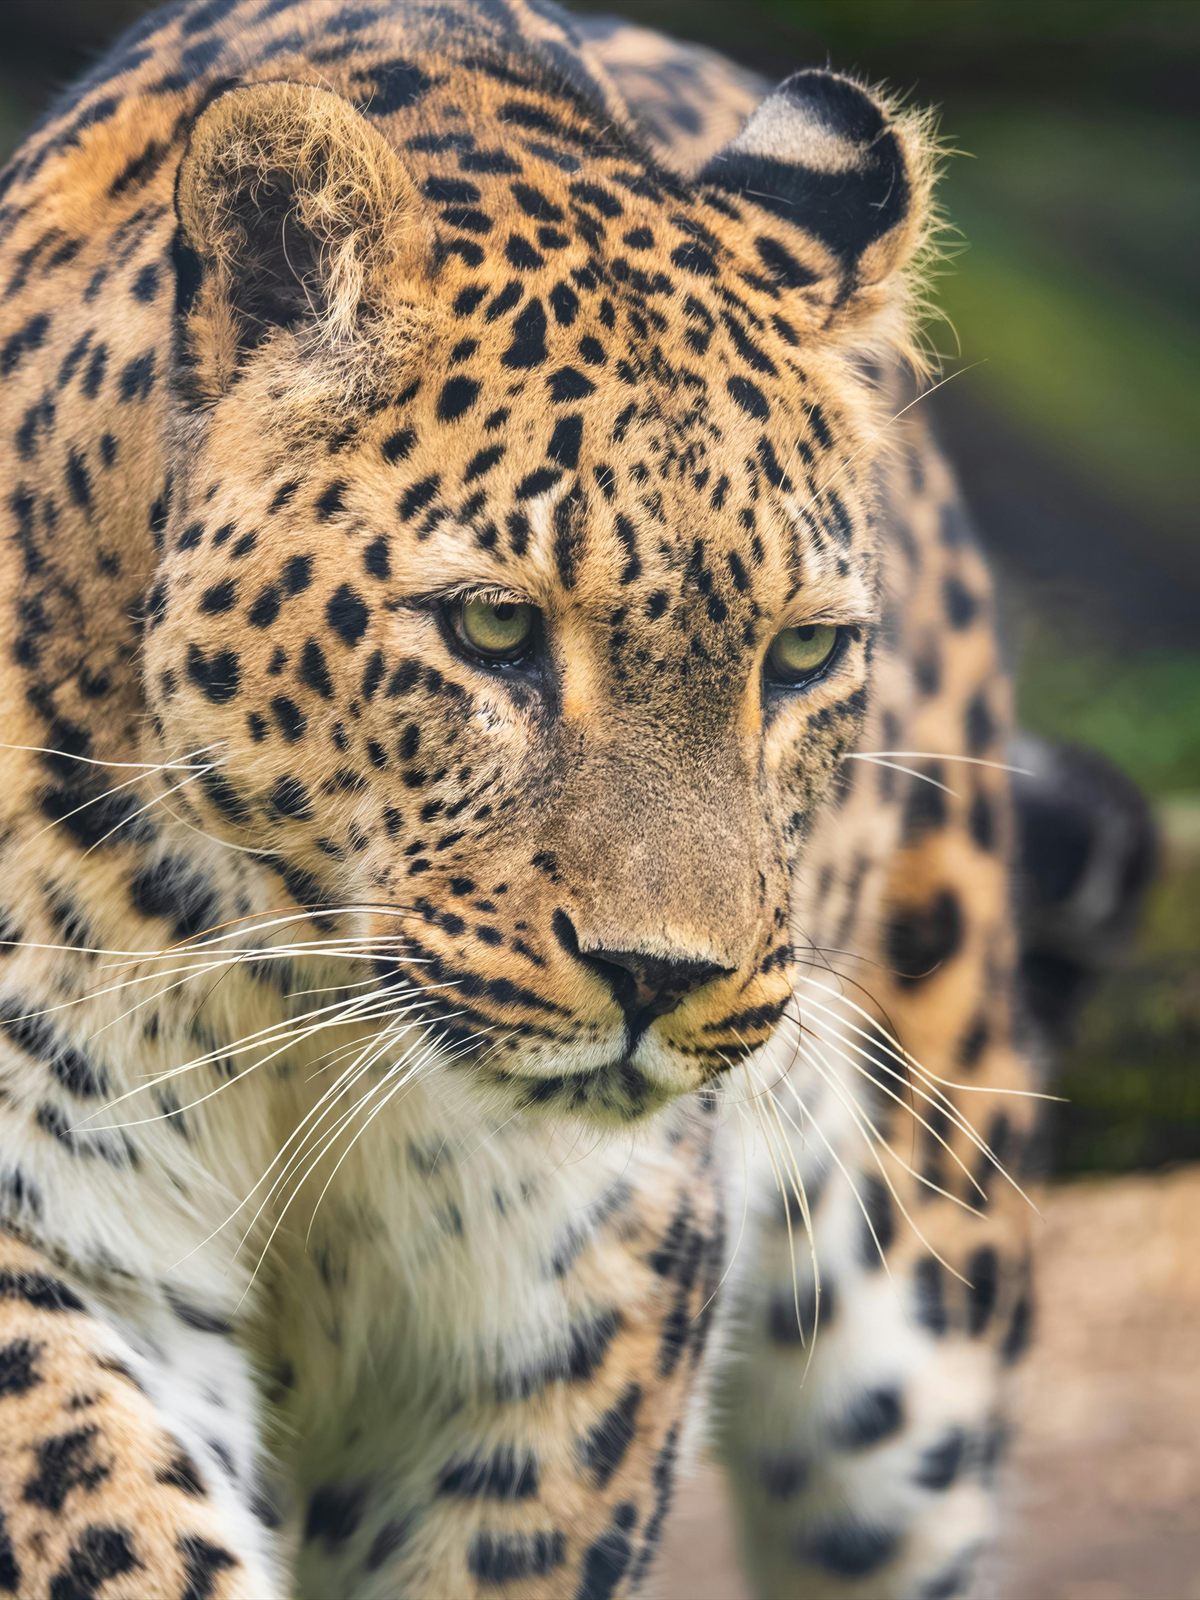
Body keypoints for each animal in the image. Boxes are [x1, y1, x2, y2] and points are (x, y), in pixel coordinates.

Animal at [0, 2, 1049, 1596]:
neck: (302, 997)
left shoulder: (588, 1296)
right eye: (494, 629)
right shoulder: (51, 1235)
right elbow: (115, 1513)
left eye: (802, 656)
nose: (659, 979)